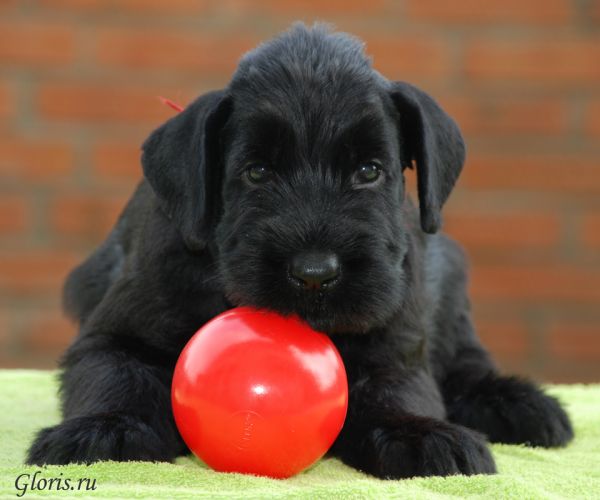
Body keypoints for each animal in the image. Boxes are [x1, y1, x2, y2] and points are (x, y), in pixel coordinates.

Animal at [27, 25, 572, 478]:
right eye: (257, 172)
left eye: (369, 171)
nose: (315, 273)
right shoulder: (116, 334)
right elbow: (116, 373)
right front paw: (105, 428)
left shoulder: (395, 344)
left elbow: (398, 388)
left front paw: (418, 433)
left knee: (466, 364)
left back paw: (518, 404)